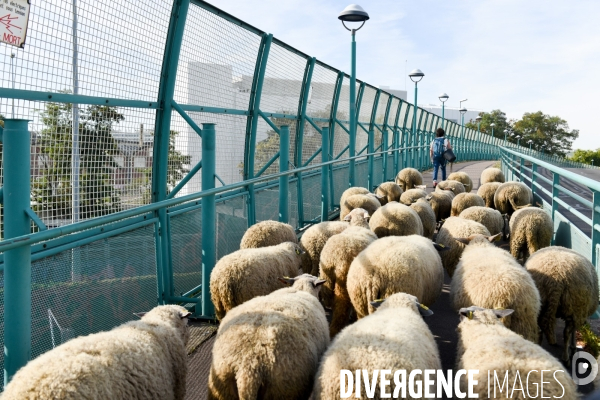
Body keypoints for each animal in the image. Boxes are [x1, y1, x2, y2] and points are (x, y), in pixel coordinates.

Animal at [318, 208, 376, 336]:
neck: (358, 224)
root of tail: (335, 257)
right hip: (344, 279)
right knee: (342, 305)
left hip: (326, 276)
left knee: (329, 298)